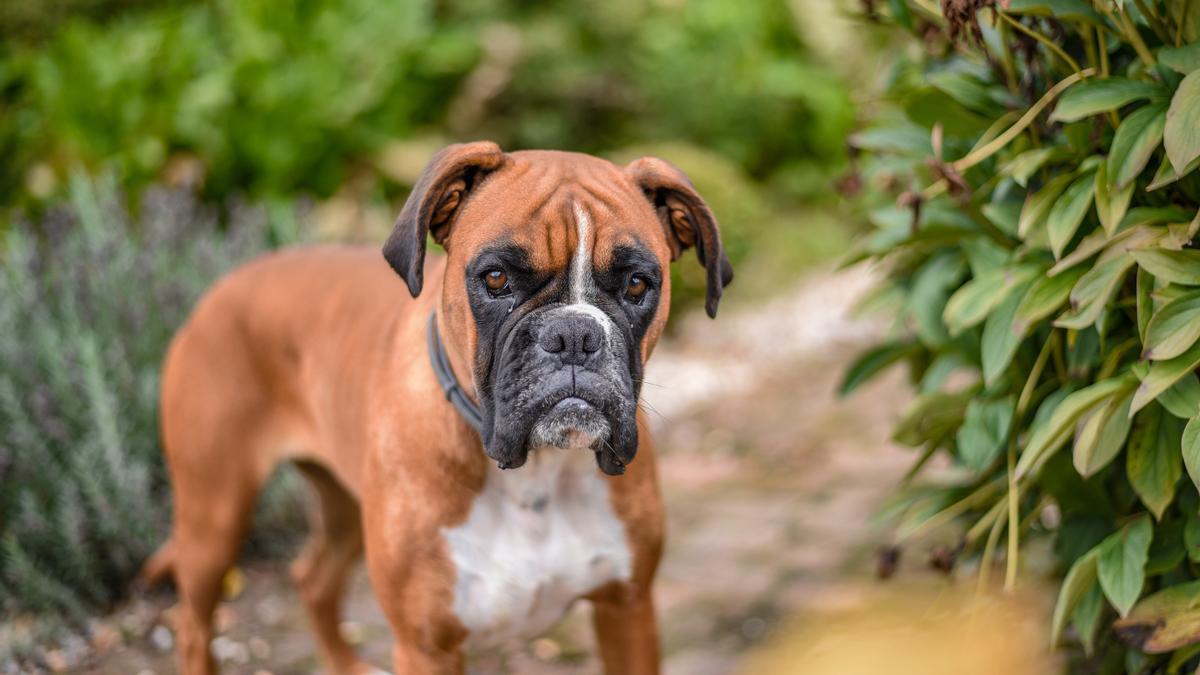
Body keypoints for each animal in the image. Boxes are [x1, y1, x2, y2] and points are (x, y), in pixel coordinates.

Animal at [140, 139, 729, 667]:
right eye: (496, 277)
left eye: (638, 285)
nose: (574, 335)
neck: (535, 474)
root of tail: (219, 290)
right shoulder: (426, 645)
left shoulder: (627, 609)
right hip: (214, 516)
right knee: (193, 624)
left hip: (340, 504)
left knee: (313, 579)